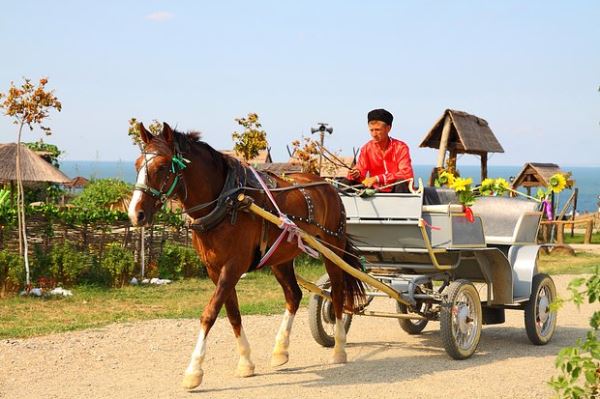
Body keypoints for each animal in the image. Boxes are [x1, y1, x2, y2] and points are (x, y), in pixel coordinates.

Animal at [127, 122, 366, 390]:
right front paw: (245, 363)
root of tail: (328, 186)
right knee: (294, 295)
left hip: (332, 250)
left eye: (161, 166)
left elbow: (210, 314)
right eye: (137, 165)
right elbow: (232, 314)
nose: (135, 214)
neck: (227, 201)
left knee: (337, 293)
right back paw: (280, 350)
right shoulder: (215, 269)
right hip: (280, 258)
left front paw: (194, 371)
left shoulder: (233, 266)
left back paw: (339, 348)